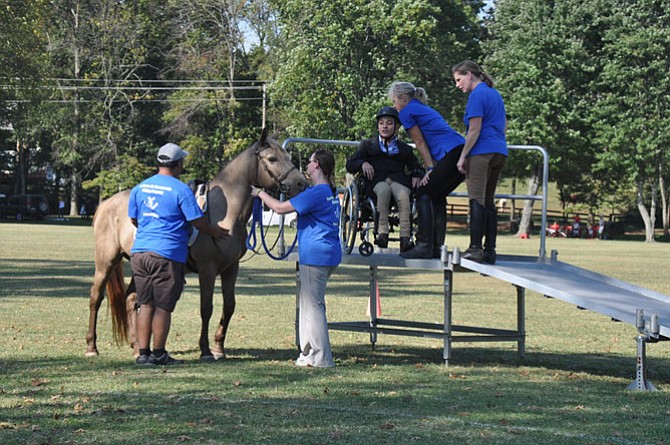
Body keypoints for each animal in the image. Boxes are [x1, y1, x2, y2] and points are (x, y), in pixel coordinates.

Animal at [84, 130, 312, 360]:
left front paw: (219, 348)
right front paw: (205, 350)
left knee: (131, 298)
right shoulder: (207, 269)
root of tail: (105, 204)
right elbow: (206, 308)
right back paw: (92, 346)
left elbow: (229, 306)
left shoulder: (231, 268)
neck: (223, 214)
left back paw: (137, 345)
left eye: (288, 157)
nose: (302, 183)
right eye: (272, 159)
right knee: (96, 297)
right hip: (106, 262)